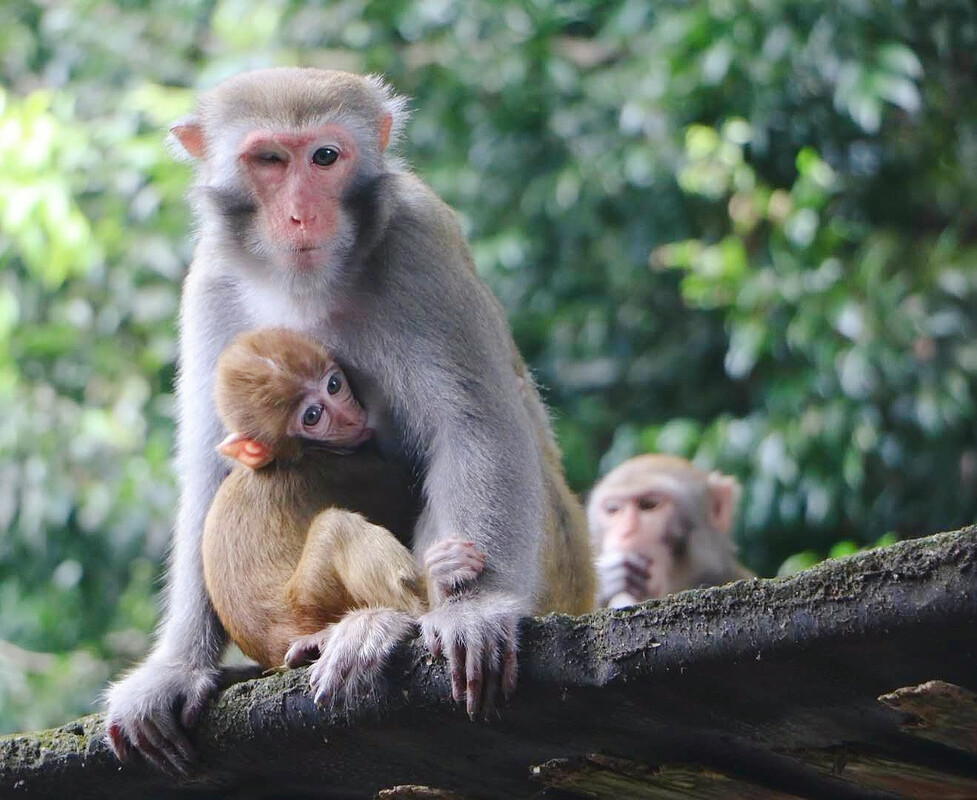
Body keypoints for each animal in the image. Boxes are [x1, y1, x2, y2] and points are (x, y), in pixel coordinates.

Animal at [202, 328, 484, 672]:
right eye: (313, 416)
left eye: (333, 385)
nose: (351, 417)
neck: (295, 457)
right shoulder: (343, 471)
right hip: (311, 603)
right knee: (336, 528)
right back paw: (432, 586)